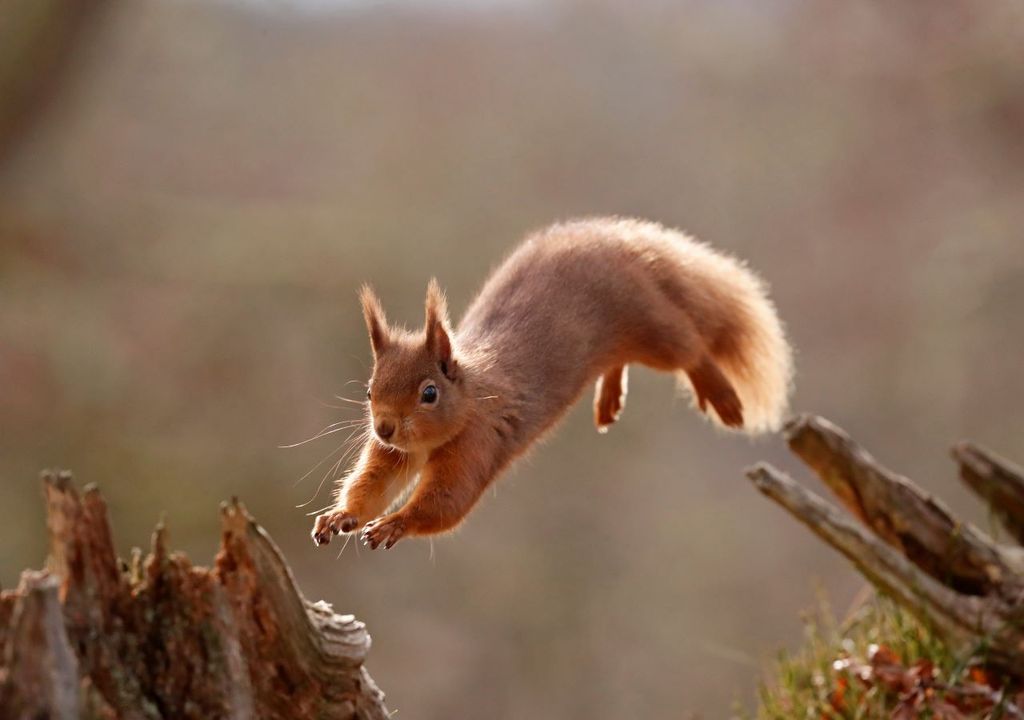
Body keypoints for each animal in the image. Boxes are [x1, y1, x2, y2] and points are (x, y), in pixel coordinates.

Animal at [309, 217, 790, 548]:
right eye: (369, 391)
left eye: (429, 393)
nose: (384, 427)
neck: (468, 398)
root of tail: (617, 240)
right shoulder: (391, 454)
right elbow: (370, 487)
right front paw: (339, 516)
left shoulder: (478, 441)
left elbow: (447, 504)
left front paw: (396, 523)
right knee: (622, 358)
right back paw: (608, 400)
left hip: (648, 322)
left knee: (690, 347)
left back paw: (721, 395)